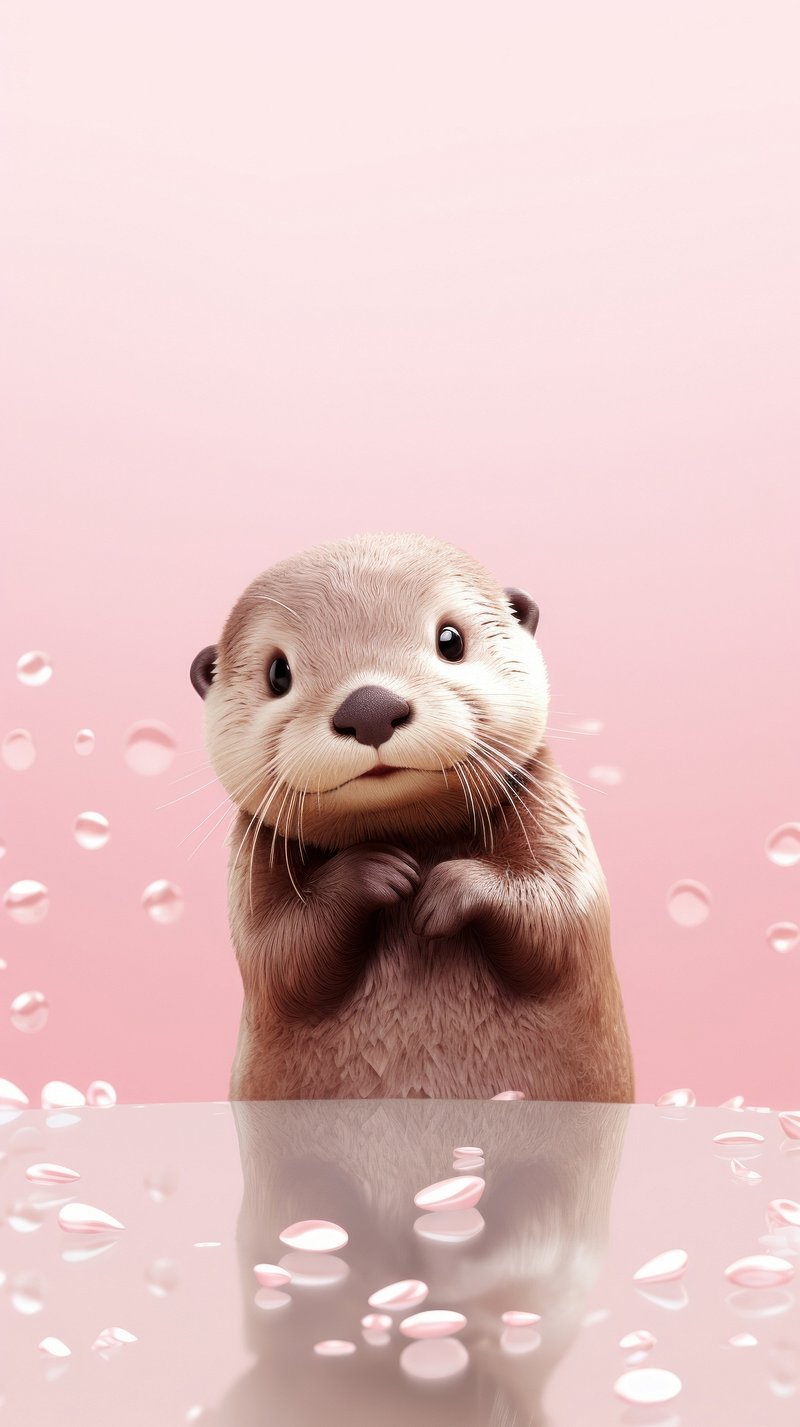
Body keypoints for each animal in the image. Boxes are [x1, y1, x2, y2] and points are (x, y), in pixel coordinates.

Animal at [190, 531, 634, 1103]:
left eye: (451, 640)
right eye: (278, 673)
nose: (370, 708)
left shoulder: (554, 813)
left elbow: (563, 914)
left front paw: (447, 889)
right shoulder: (251, 859)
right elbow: (278, 955)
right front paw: (374, 871)